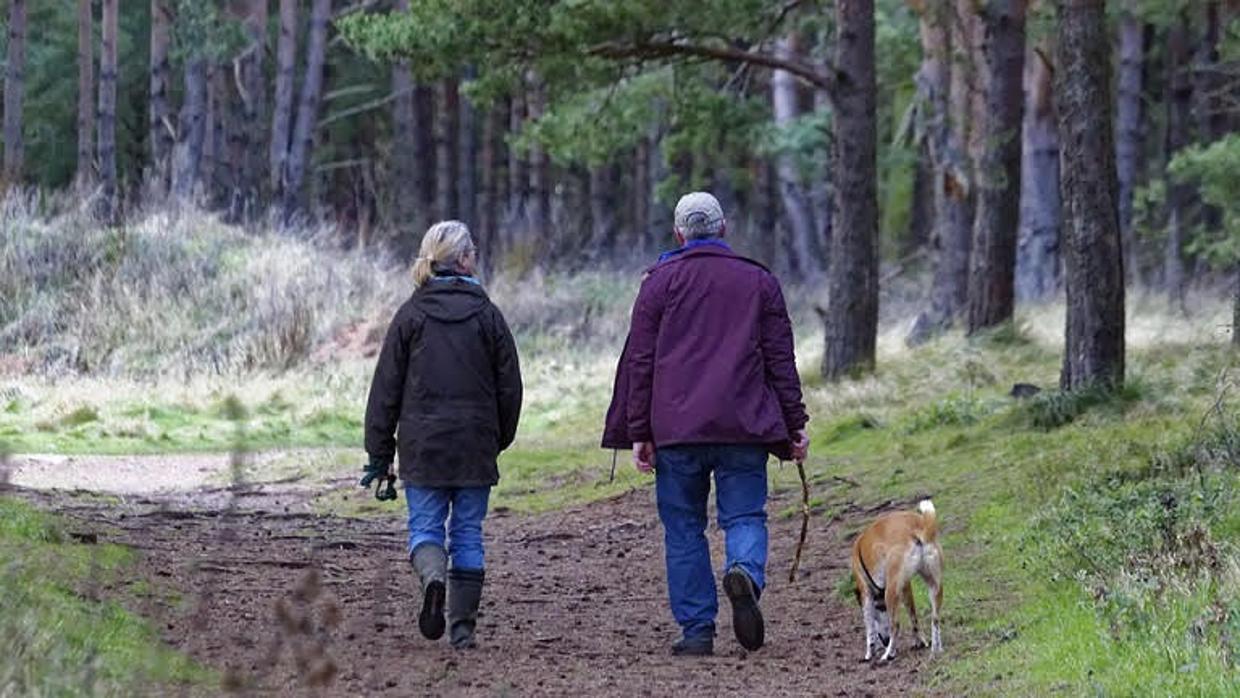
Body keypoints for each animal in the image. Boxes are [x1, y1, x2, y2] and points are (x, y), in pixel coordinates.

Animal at [848, 500, 942, 664]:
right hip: (934, 586)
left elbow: (870, 629)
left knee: (895, 626)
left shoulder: (866, 593)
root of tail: (917, 527)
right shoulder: (905, 587)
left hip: (891, 592)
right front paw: (920, 642)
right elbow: (914, 618)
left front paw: (869, 653)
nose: (885, 641)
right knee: (935, 618)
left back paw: (888, 655)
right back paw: (936, 649)